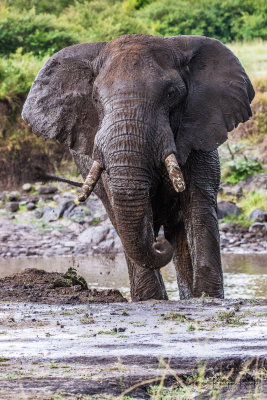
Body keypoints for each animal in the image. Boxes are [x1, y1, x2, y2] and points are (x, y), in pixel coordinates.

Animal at [22, 34, 255, 302]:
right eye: (95, 99)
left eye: (171, 94)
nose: (159, 244)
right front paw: (150, 299)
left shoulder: (200, 129)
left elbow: (199, 206)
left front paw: (208, 297)